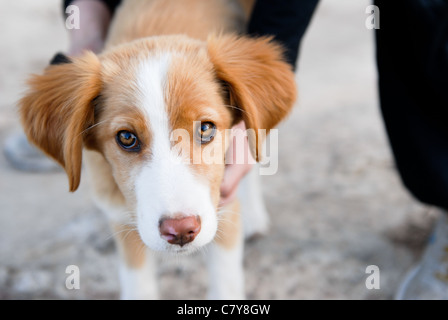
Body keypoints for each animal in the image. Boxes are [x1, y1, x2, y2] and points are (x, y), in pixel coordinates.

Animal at [19, 0, 296, 300]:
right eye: (126, 137)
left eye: (205, 128)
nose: (181, 231)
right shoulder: (120, 217)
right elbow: (137, 285)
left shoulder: (222, 206)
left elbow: (226, 284)